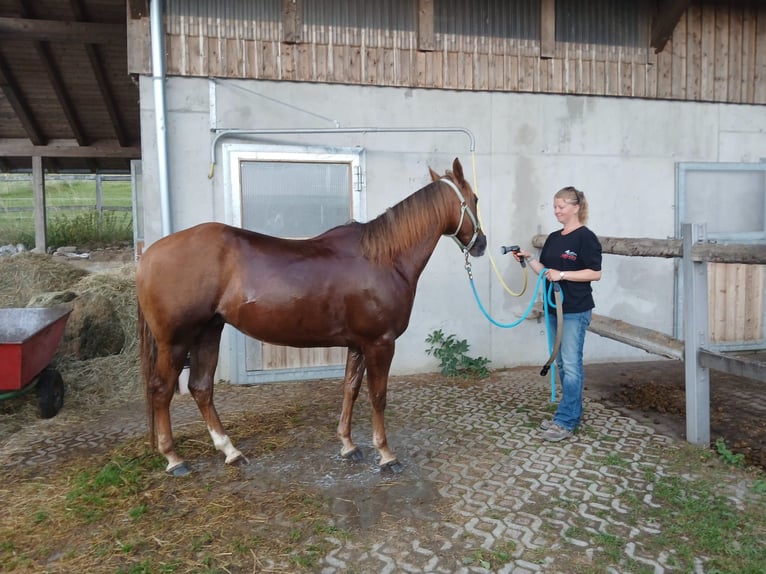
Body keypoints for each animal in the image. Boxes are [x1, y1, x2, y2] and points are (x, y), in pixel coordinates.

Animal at [136, 157, 486, 476]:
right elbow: (377, 396)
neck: (383, 258)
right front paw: (386, 455)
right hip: (175, 341)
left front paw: (348, 445)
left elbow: (350, 389)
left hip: (209, 331)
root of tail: (149, 255)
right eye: (475, 199)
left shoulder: (358, 344)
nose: (481, 244)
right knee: (161, 390)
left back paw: (231, 451)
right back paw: (174, 459)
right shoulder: (380, 343)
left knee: (201, 387)